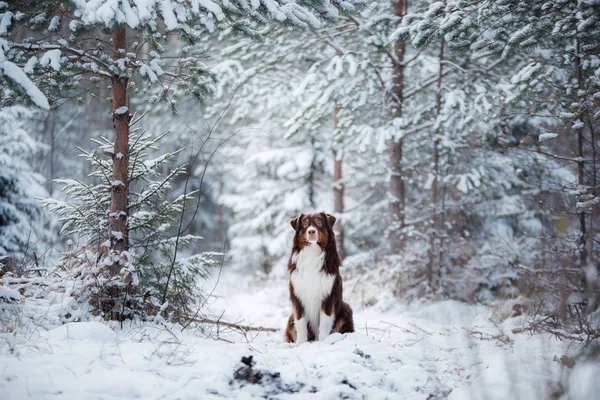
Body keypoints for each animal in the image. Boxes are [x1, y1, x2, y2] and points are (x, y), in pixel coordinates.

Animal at [284, 212, 354, 344]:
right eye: (305, 223)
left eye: (319, 222)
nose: (311, 231)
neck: (312, 253)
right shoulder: (298, 295)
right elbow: (300, 322)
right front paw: (301, 343)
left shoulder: (328, 296)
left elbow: (325, 322)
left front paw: (323, 341)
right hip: (290, 318)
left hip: (345, 309)